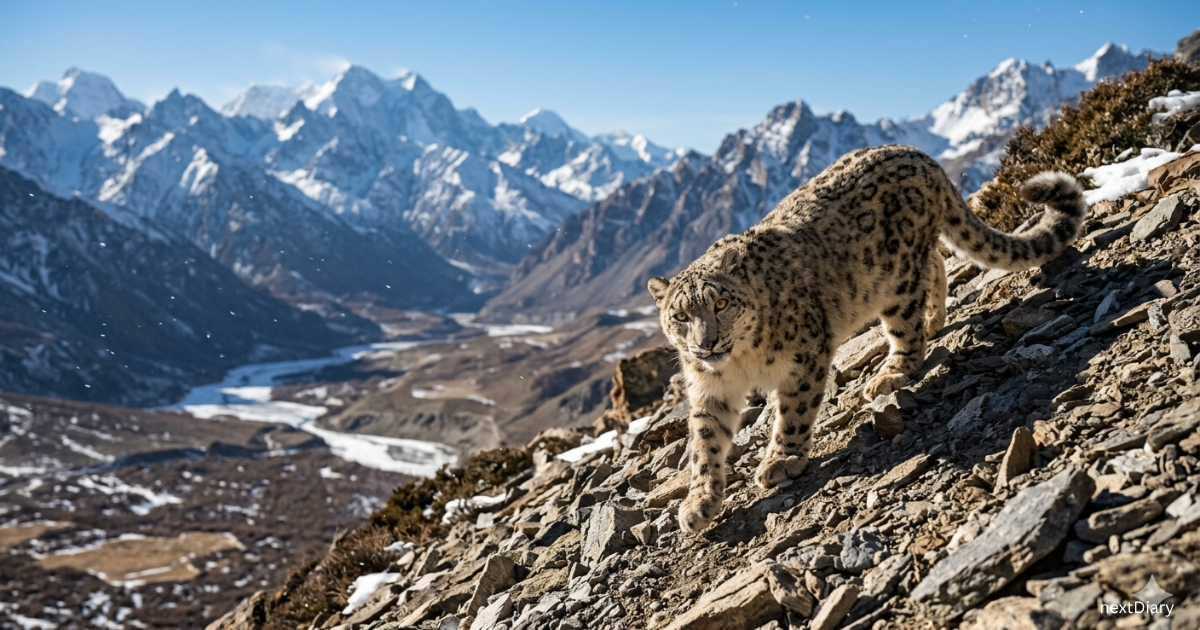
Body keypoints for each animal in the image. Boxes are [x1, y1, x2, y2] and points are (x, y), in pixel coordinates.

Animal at [647, 144, 1087, 534]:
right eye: (681, 317)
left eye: (721, 303)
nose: (706, 343)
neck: (740, 362)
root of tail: (921, 157)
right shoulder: (709, 387)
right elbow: (705, 442)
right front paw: (699, 503)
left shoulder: (804, 357)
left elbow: (793, 412)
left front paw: (781, 460)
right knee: (937, 262)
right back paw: (933, 320)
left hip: (896, 279)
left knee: (909, 322)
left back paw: (890, 373)